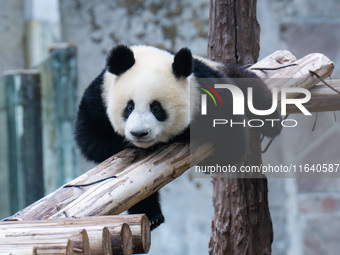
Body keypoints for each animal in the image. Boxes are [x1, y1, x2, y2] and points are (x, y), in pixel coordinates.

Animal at [74, 44, 282, 230]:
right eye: (129, 106)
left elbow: (232, 142)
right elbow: (90, 140)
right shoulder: (98, 99)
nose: (139, 133)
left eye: (156, 108)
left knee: (250, 85)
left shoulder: (206, 89)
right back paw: (152, 216)